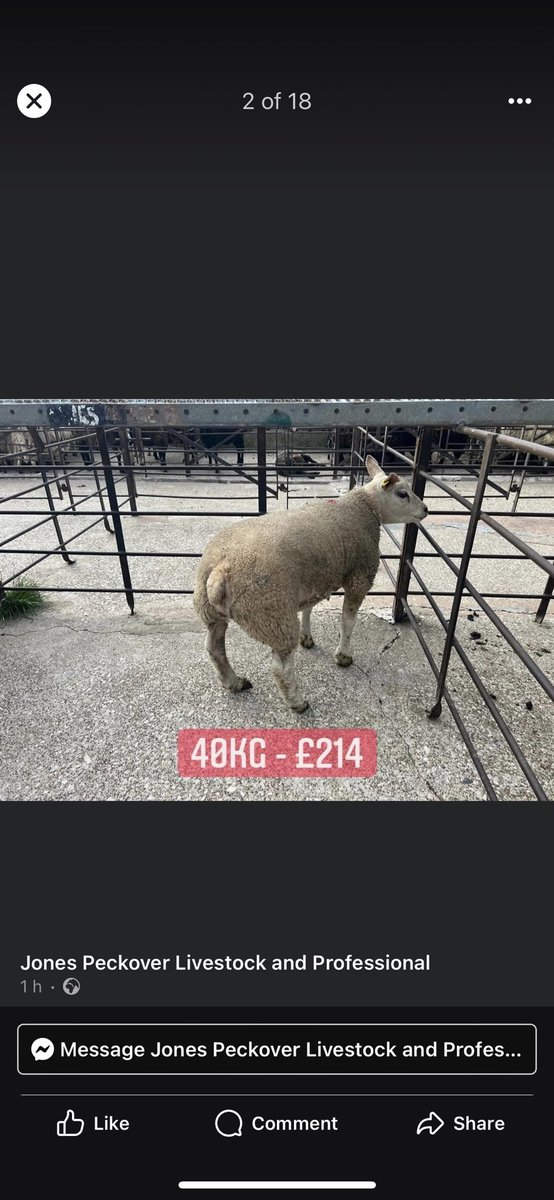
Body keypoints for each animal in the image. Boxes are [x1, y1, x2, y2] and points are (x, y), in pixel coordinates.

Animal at [193, 455, 428, 712]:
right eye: (402, 494)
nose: (426, 510)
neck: (364, 507)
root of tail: (219, 571)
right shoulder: (359, 576)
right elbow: (348, 621)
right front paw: (343, 656)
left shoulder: (313, 578)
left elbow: (308, 609)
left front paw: (307, 638)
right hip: (272, 612)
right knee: (280, 668)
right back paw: (297, 702)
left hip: (212, 612)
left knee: (214, 648)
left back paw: (234, 682)